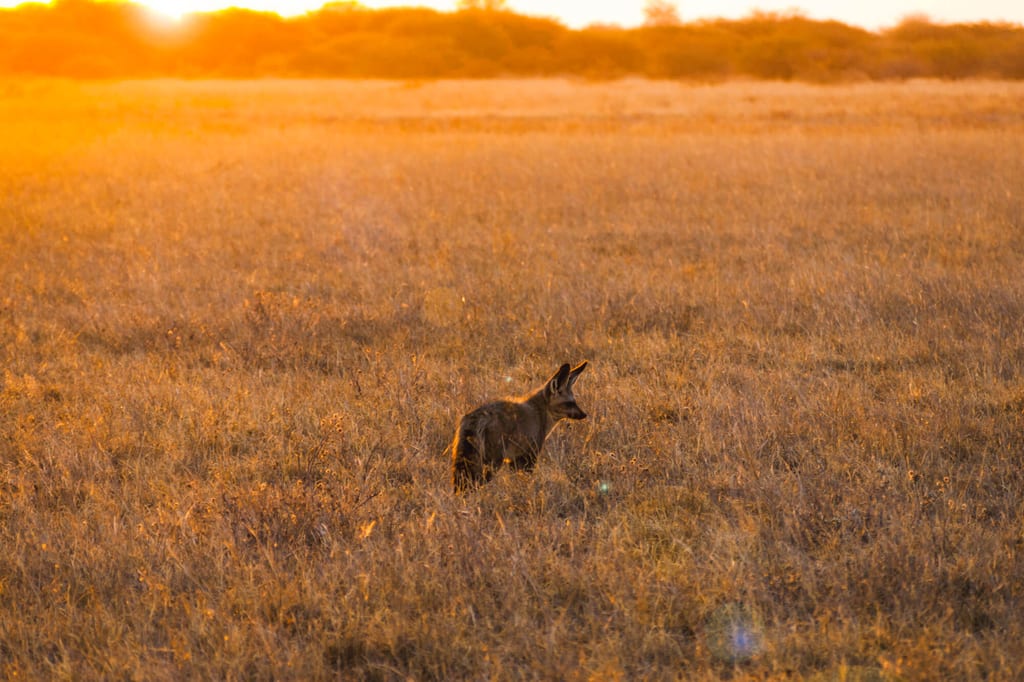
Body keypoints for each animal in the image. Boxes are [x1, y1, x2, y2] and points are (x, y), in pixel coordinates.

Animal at [451, 360, 589, 493]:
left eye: (575, 402)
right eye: (569, 403)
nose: (584, 415)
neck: (539, 413)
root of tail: (477, 417)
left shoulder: (514, 460)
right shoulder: (529, 456)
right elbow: (527, 482)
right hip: (492, 463)